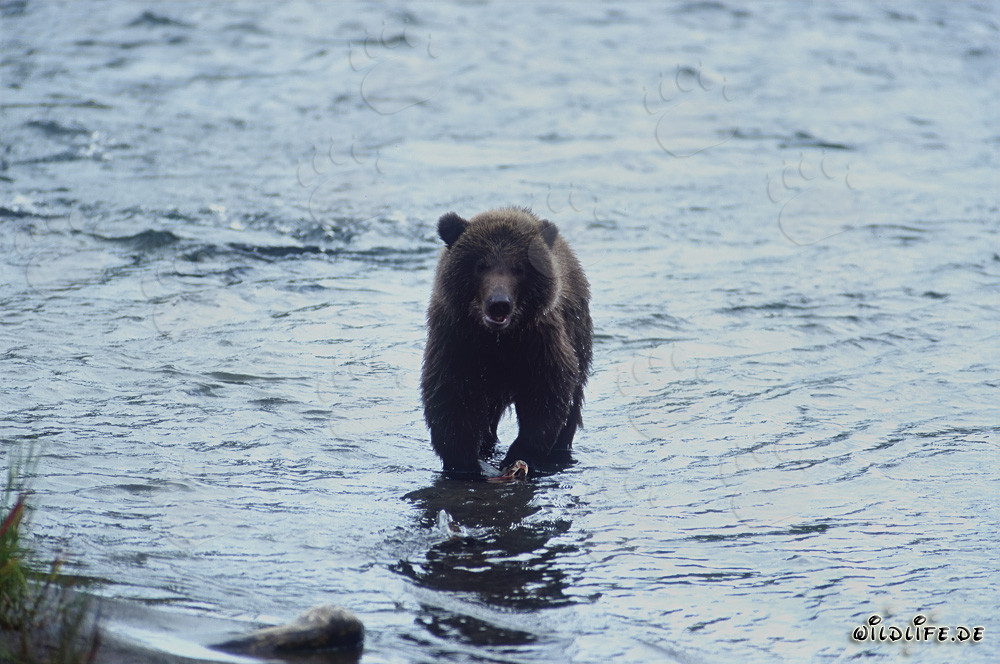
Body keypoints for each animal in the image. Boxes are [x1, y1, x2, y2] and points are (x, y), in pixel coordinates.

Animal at [421, 207, 592, 477]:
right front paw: (466, 462)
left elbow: (546, 394)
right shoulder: (457, 340)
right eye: (481, 265)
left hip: (579, 336)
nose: (499, 303)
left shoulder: (537, 342)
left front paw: (518, 455)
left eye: (519, 268)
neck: (498, 339)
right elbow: (450, 394)